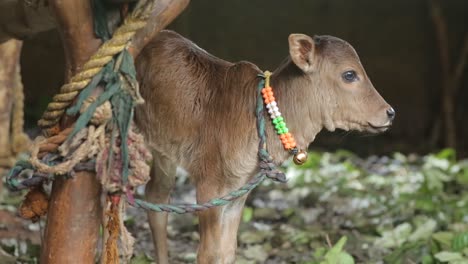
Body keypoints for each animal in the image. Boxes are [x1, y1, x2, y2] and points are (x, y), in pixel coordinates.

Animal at [135, 29, 394, 262]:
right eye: (349, 74)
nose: (390, 112)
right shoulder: (208, 184)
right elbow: (208, 253)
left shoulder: (238, 190)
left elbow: (226, 251)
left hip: (165, 152)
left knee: (157, 196)